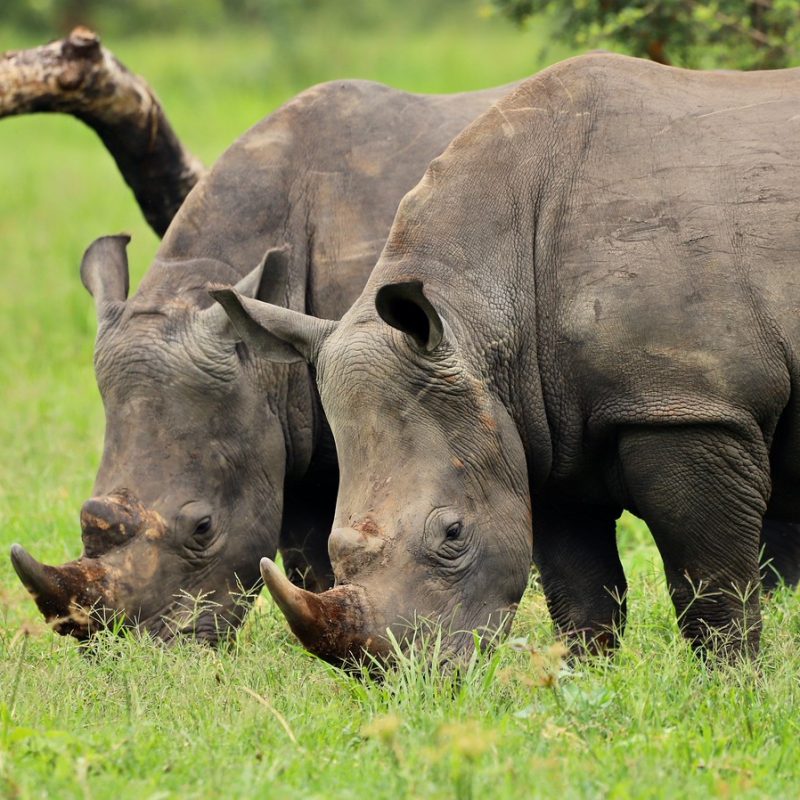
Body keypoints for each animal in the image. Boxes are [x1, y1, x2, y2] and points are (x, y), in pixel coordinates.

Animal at [215, 53, 800, 662]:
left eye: (453, 533)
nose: (402, 676)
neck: (479, 311)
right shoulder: (548, 429)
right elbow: (581, 590)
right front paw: (582, 676)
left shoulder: (687, 405)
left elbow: (710, 582)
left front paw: (731, 677)